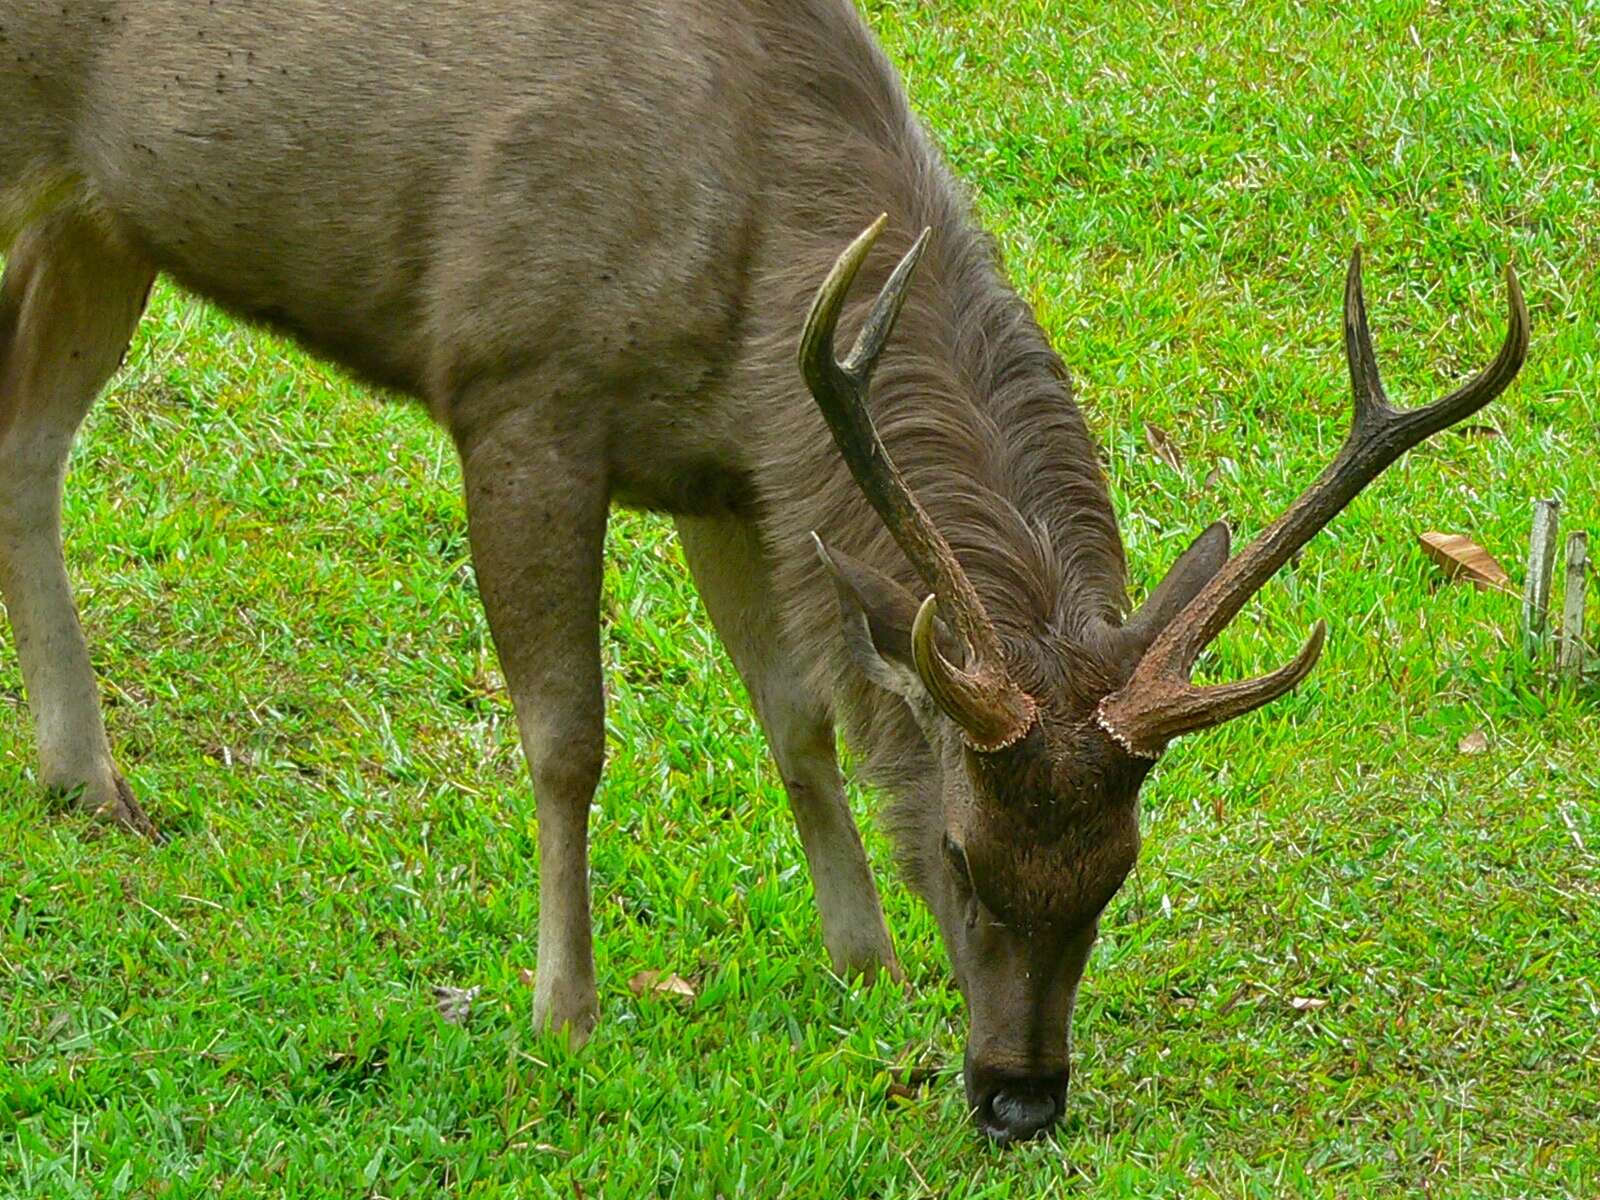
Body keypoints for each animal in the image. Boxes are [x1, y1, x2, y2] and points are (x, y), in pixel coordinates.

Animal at [0, 2, 1523, 1145]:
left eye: (1118, 870)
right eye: (963, 853)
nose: (1022, 1099)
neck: (755, 237)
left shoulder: (730, 467)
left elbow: (800, 717)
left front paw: (865, 963)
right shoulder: (518, 383)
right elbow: (567, 736)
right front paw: (566, 1012)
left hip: (102, 220)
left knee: (30, 441)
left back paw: (88, 780)